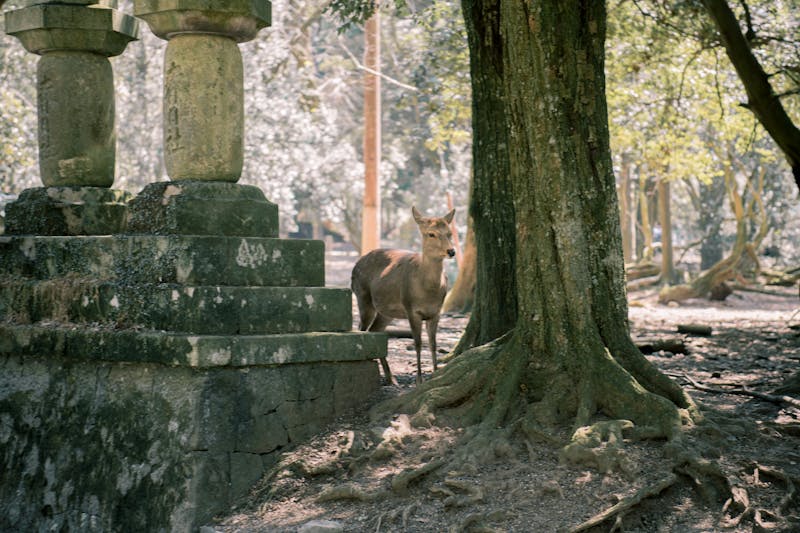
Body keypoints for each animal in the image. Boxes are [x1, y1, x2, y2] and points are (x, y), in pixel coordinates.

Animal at [351, 206, 456, 385]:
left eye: (449, 233)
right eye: (431, 233)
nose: (451, 251)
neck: (427, 291)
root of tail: (355, 265)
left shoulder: (436, 312)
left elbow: (433, 344)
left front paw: (435, 373)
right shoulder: (411, 308)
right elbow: (418, 343)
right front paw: (419, 379)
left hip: (386, 312)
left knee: (375, 331)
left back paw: (391, 377)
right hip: (362, 297)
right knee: (362, 329)